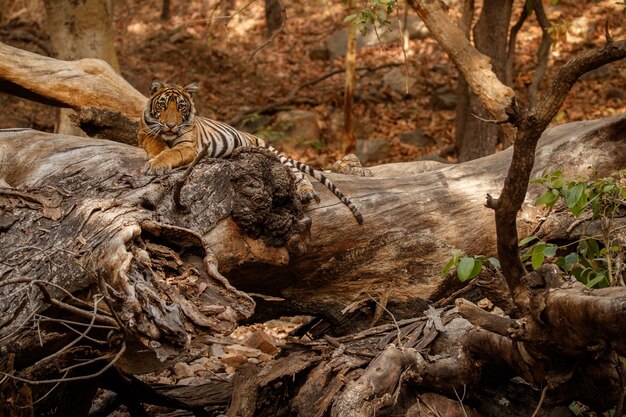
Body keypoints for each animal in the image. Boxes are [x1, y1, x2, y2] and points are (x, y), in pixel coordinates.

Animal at [136, 81, 360, 224]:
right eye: (163, 105)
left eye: (181, 107)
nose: (171, 125)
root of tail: (253, 136)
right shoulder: (145, 133)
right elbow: (158, 145)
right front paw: (155, 160)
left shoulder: (188, 146)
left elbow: (171, 153)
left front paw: (156, 165)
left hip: (273, 154)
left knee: (297, 173)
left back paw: (306, 192)